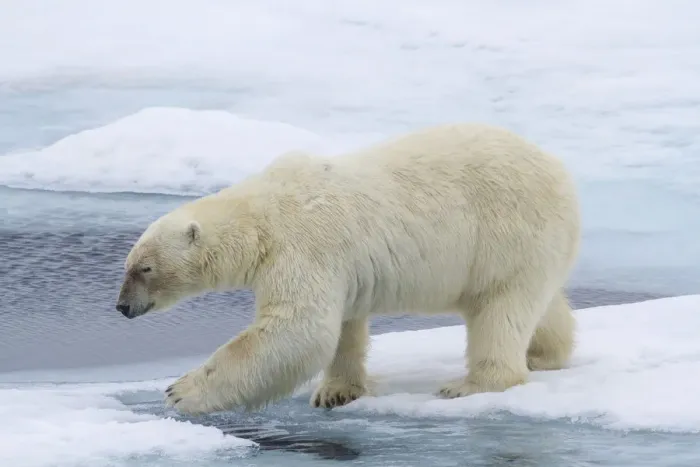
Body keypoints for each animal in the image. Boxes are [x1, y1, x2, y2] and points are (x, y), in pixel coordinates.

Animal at [115, 123, 581, 415]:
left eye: (145, 268)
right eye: (129, 264)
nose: (121, 307)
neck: (262, 215)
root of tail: (561, 173)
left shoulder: (303, 245)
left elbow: (296, 328)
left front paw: (180, 392)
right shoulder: (339, 265)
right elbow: (341, 327)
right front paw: (335, 393)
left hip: (505, 234)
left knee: (500, 309)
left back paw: (470, 384)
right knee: (534, 303)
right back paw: (544, 353)